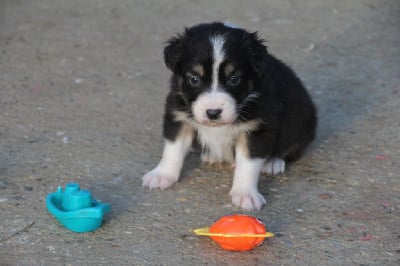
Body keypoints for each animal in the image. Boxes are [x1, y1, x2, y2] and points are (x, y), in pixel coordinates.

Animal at [142, 22, 318, 210]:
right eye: (194, 79)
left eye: (234, 79)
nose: (213, 113)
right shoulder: (178, 116)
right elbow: (172, 149)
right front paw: (162, 175)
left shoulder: (258, 128)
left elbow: (248, 164)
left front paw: (245, 194)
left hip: (301, 122)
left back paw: (272, 162)